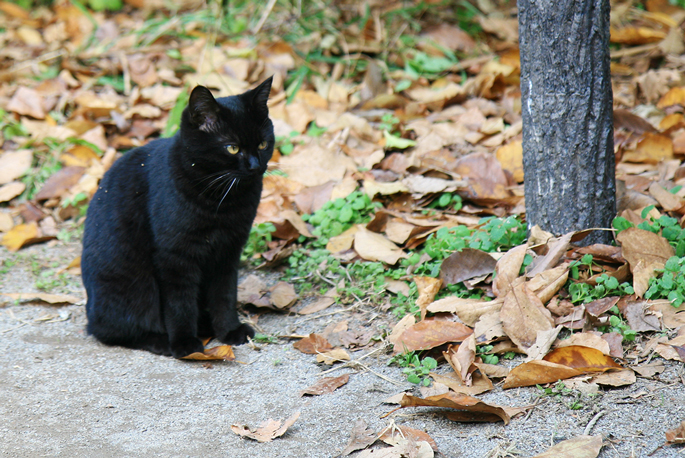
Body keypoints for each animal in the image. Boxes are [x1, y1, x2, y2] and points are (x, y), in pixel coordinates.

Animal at [80, 78, 272, 358]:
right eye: (232, 147)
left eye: (263, 144)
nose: (255, 166)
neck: (221, 202)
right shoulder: (174, 255)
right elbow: (179, 302)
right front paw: (185, 344)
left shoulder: (228, 251)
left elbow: (224, 294)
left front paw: (229, 330)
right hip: (136, 286)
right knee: (113, 330)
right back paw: (161, 341)